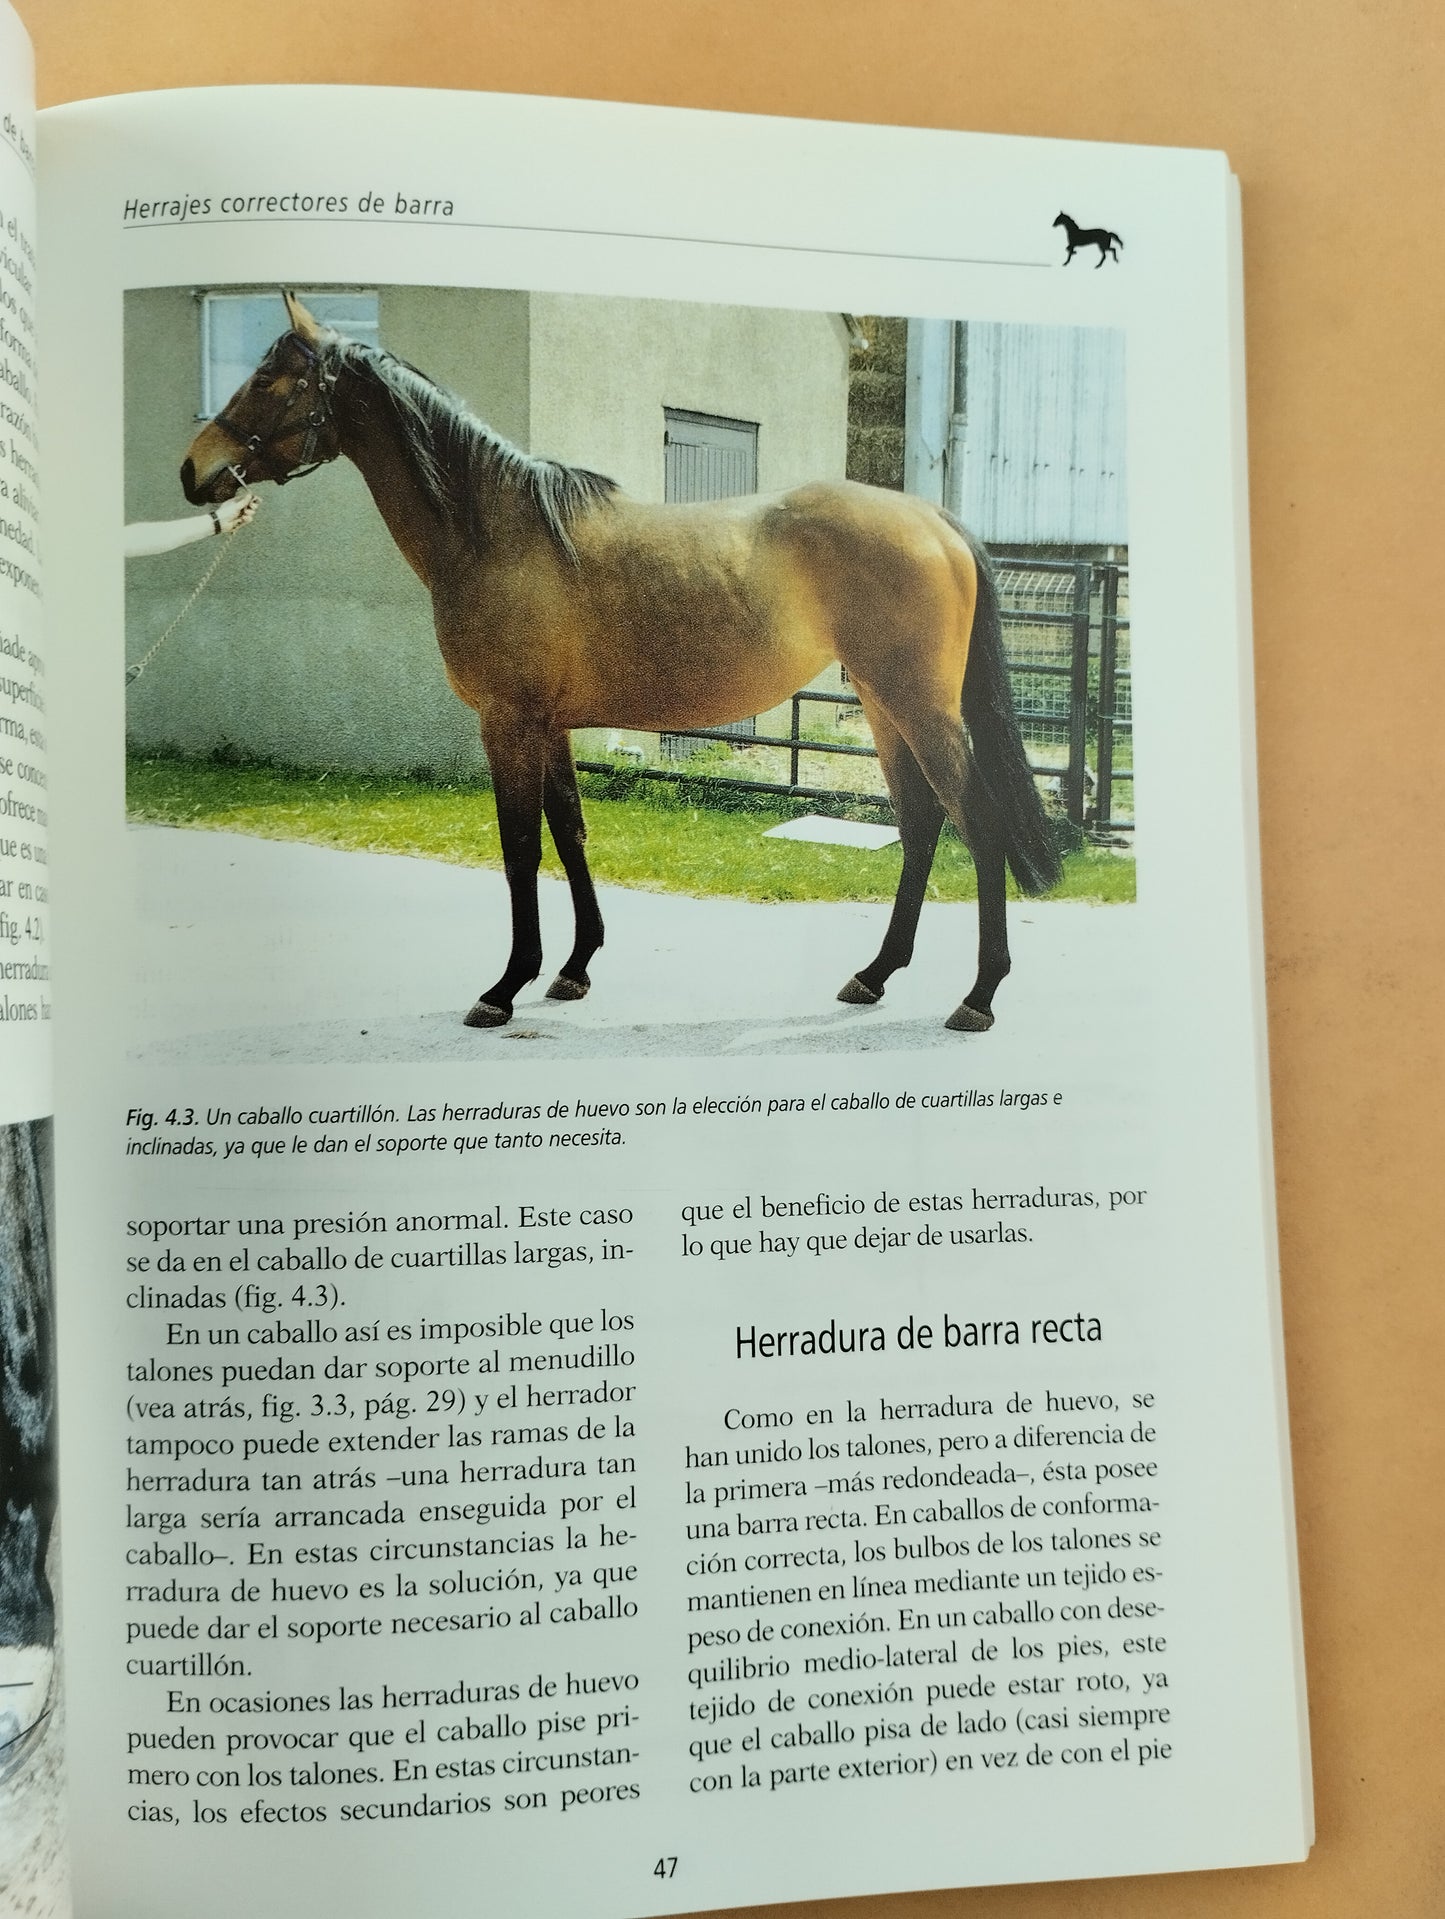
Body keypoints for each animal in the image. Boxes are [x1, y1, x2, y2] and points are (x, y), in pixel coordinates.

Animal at [180, 292, 1060, 1035]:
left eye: (272, 377)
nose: (194, 469)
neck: (496, 531)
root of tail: (933, 517)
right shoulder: (551, 725)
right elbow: (569, 831)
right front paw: (573, 968)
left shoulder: (509, 722)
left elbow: (520, 847)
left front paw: (505, 986)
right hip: (881, 705)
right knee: (919, 824)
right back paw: (873, 975)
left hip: (918, 707)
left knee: (973, 823)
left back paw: (978, 996)